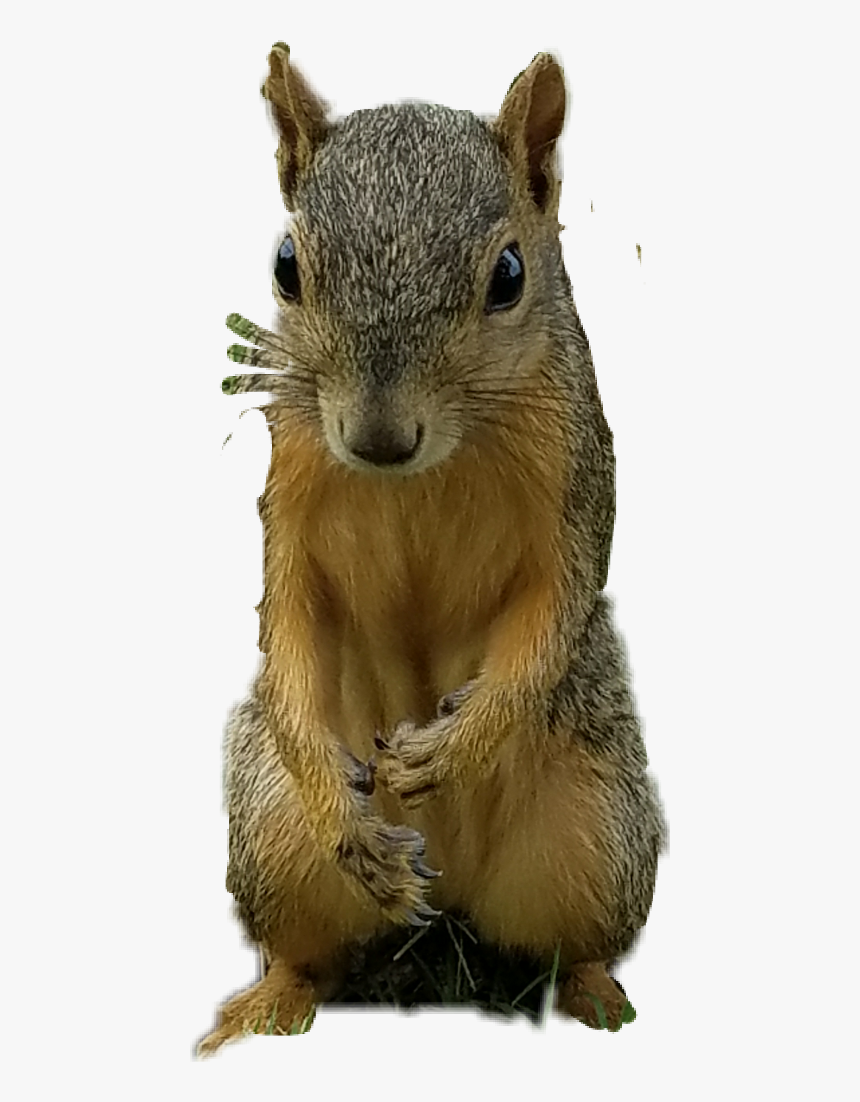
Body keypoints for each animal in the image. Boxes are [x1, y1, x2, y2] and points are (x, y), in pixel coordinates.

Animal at [198, 43, 667, 1055]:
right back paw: (266, 1004)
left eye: (510, 274)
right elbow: (286, 621)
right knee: (305, 951)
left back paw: (600, 997)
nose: (378, 438)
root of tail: (449, 900)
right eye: (285, 266)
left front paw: (451, 751)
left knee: (576, 942)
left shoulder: (576, 490)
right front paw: (350, 811)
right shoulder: (290, 495)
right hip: (273, 832)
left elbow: (555, 614)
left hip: (597, 828)